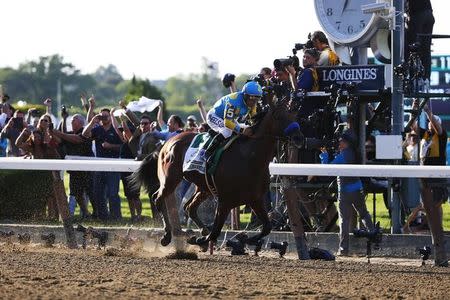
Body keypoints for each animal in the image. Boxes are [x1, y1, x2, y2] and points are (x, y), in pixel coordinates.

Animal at [139, 99, 304, 247]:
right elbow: (216, 232)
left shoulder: (255, 199)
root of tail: (168, 141)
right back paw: (167, 235)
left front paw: (248, 239)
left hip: (204, 187)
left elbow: (267, 227)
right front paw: (199, 240)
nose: (299, 138)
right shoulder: (225, 201)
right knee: (158, 198)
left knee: (189, 207)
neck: (249, 158)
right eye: (279, 117)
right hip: (170, 179)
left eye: (294, 116)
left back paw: (200, 230)